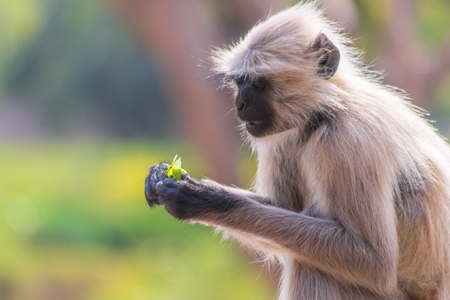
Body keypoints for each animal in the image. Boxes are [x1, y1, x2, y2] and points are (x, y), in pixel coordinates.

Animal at [144, 1, 450, 298]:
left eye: (258, 84)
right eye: (239, 82)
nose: (239, 104)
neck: (329, 110)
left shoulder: (347, 141)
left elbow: (375, 261)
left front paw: (207, 199)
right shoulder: (286, 136)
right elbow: (281, 207)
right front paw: (163, 175)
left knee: (313, 265)